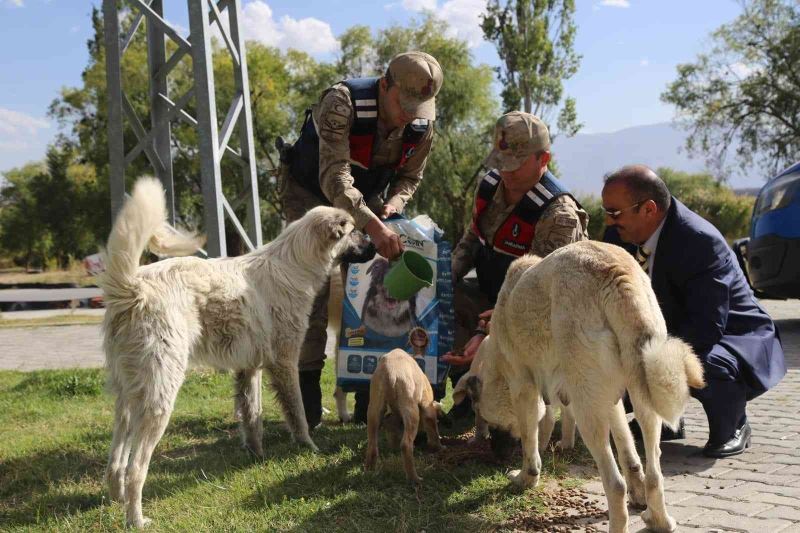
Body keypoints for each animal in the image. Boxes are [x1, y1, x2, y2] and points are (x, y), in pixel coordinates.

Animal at [100, 178, 376, 528]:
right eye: (355, 231)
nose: (376, 243)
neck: (294, 263)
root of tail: (133, 288)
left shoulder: (250, 368)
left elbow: (252, 417)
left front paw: (257, 455)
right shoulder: (285, 362)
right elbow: (297, 412)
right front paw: (309, 447)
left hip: (128, 399)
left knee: (115, 463)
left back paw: (117, 499)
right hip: (159, 398)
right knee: (136, 468)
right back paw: (136, 519)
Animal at [362, 350, 444, 482]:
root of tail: (390, 373)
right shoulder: (428, 408)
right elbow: (433, 431)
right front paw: (439, 447)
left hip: (374, 409)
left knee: (372, 445)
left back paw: (369, 471)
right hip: (411, 409)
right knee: (406, 445)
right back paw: (414, 478)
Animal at [466, 242, 704, 532]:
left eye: (488, 421)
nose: (496, 456)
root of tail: (616, 273)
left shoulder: (524, 388)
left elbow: (530, 443)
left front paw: (526, 478)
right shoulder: (610, 400)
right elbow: (628, 451)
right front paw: (638, 492)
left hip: (586, 411)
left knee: (615, 485)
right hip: (641, 395)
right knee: (654, 473)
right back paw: (659, 519)